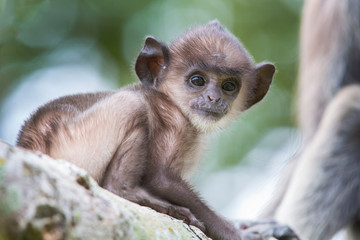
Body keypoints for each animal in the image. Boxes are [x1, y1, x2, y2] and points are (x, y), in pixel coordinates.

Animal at [17, 21, 296, 239]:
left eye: (229, 86)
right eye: (197, 80)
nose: (214, 98)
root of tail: (32, 144)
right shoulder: (174, 122)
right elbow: (161, 178)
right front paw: (240, 234)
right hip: (72, 142)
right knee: (133, 106)